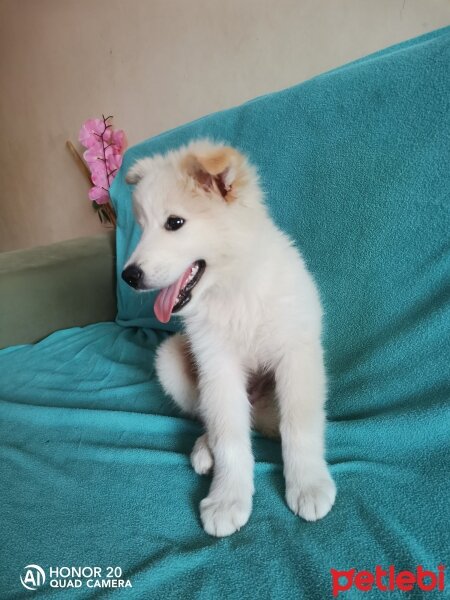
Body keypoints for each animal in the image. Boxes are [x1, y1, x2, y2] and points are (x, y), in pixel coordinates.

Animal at [122, 139, 334, 536]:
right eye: (142, 227)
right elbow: (229, 438)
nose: (129, 276)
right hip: (171, 358)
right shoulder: (217, 366)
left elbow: (299, 426)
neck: (232, 290)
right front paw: (227, 500)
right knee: (214, 419)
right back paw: (205, 449)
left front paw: (309, 484)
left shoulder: (296, 354)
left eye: (174, 223)